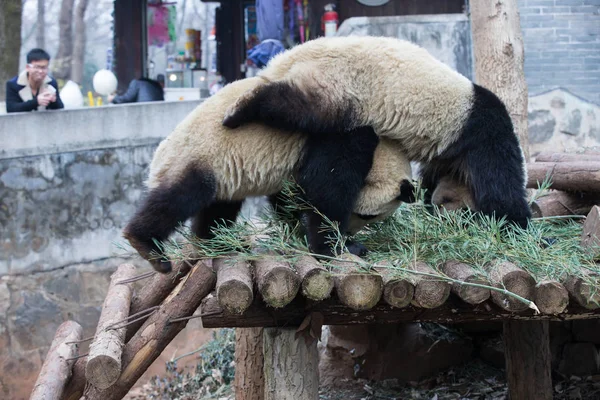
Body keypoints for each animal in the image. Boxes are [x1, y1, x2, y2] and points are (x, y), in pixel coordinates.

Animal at [124, 76, 414, 274]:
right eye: (368, 216)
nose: (352, 230)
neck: (386, 146)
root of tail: (157, 158)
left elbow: (290, 196)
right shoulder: (342, 135)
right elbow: (326, 191)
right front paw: (339, 245)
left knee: (219, 208)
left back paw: (220, 241)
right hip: (198, 156)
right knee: (179, 198)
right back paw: (148, 247)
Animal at [223, 36, 532, 230]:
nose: (443, 212)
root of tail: (284, 59)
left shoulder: (447, 154)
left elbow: (432, 178)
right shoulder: (480, 134)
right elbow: (501, 189)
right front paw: (517, 226)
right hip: (337, 84)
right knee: (297, 106)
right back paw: (238, 111)